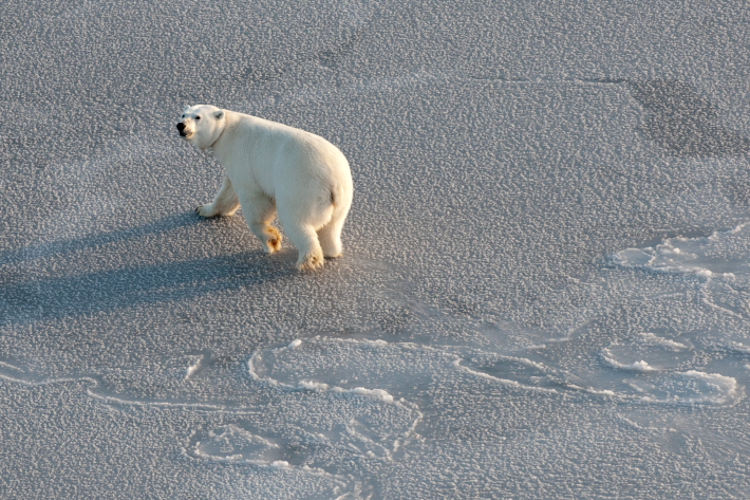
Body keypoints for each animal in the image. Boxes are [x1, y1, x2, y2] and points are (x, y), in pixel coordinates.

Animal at [177, 105, 353, 271]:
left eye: (198, 117)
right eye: (183, 114)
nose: (180, 125)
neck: (226, 130)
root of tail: (333, 182)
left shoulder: (242, 158)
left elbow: (253, 199)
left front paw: (270, 240)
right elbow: (227, 192)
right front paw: (203, 209)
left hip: (301, 188)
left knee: (297, 221)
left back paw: (308, 261)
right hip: (342, 198)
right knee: (332, 227)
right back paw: (331, 251)